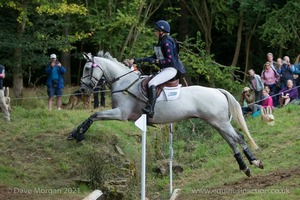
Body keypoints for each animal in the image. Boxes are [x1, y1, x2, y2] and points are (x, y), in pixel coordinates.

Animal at [67, 52, 262, 177]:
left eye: (86, 69)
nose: (83, 89)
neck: (123, 82)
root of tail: (217, 91)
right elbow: (94, 116)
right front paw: (75, 133)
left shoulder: (120, 114)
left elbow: (94, 115)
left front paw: (77, 134)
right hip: (216, 123)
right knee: (232, 141)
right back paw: (245, 167)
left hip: (221, 123)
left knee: (238, 137)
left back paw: (255, 162)